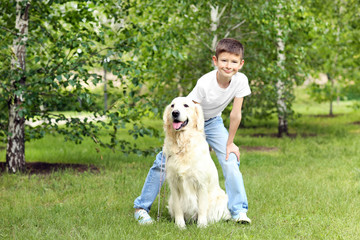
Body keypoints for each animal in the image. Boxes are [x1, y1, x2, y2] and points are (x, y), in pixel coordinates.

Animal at [163, 96, 231, 228]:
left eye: (186, 105)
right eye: (172, 105)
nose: (175, 113)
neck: (183, 144)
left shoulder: (201, 183)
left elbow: (202, 208)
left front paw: (202, 225)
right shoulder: (173, 183)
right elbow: (178, 208)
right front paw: (180, 225)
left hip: (220, 198)